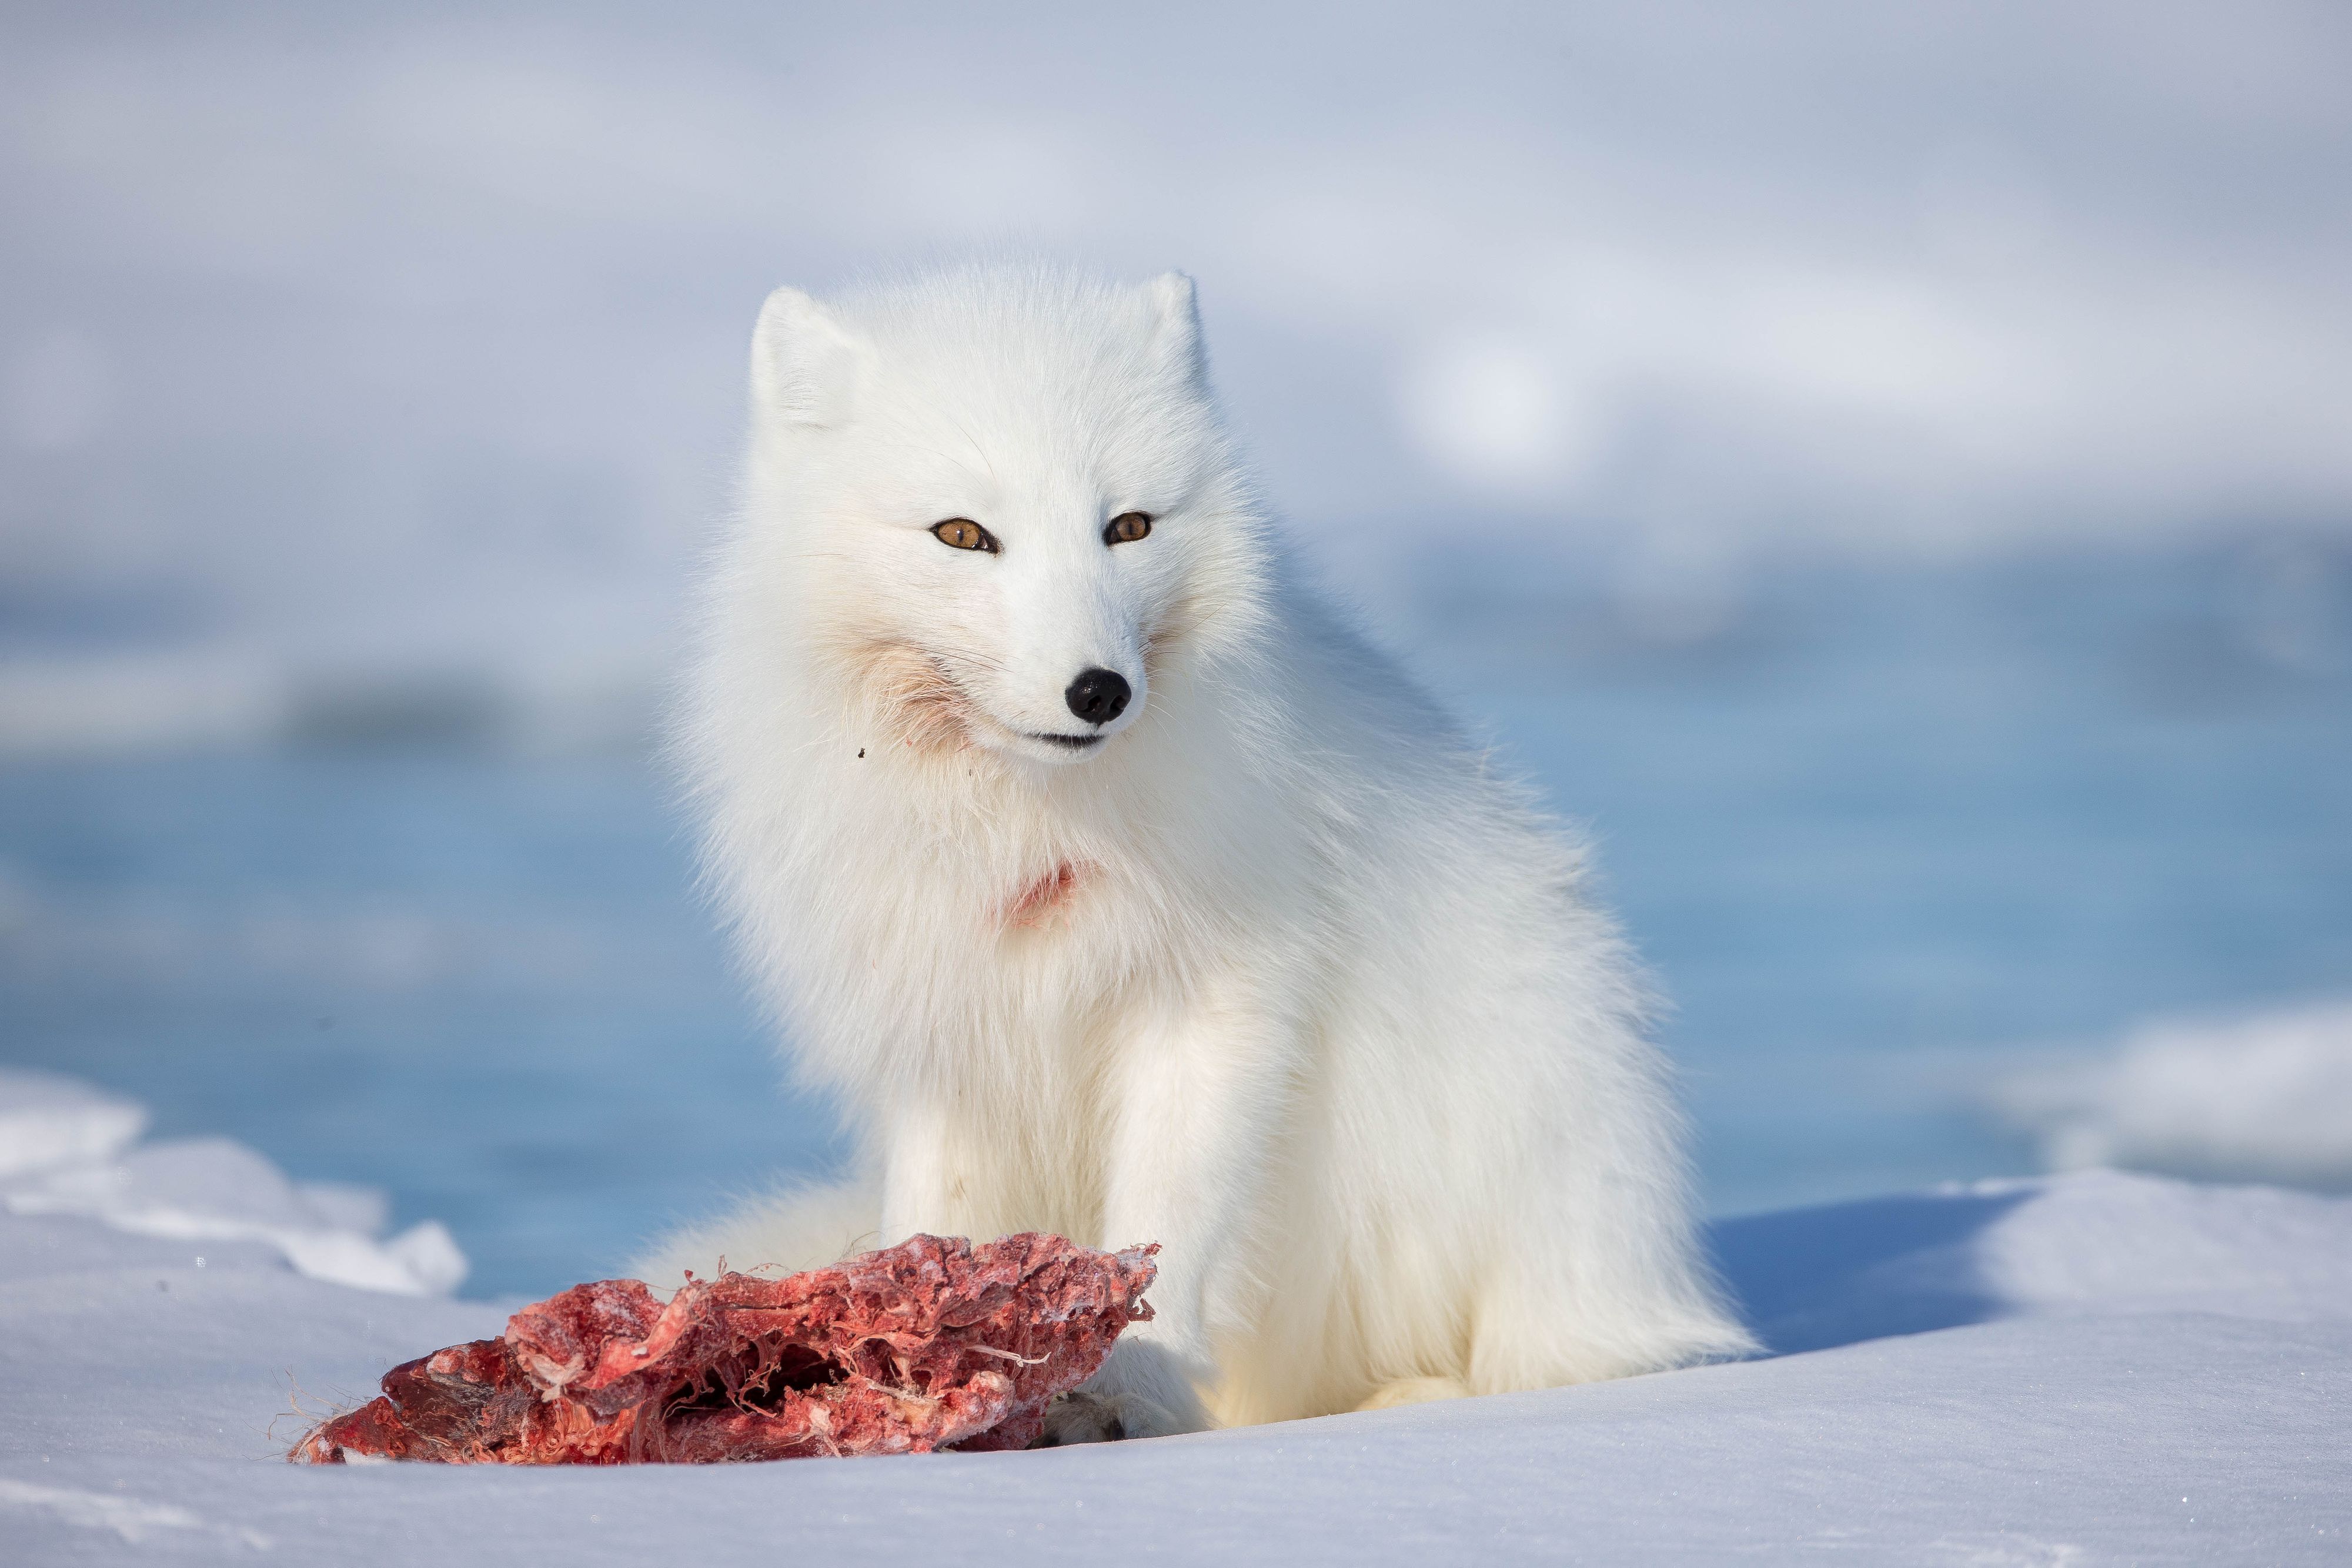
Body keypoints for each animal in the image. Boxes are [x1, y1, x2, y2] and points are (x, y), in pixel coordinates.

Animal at [644, 263, 1750, 1439]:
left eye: (1128, 526)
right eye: (962, 533)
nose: (1099, 690)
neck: (1029, 826)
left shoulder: (1214, 1006)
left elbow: (1167, 1221)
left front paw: (1126, 1388)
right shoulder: (950, 1032)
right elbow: (932, 1215)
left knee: (1534, 1353)